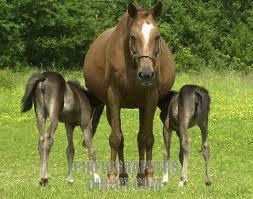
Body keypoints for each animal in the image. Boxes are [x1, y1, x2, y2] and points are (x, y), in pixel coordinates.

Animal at [83, 1, 176, 185]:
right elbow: (116, 138)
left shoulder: (150, 100)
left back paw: (139, 177)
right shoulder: (113, 99)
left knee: (141, 138)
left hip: (141, 107)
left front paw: (149, 176)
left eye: (157, 37)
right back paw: (123, 176)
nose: (146, 74)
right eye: (133, 37)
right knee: (121, 139)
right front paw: (112, 177)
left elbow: (147, 138)